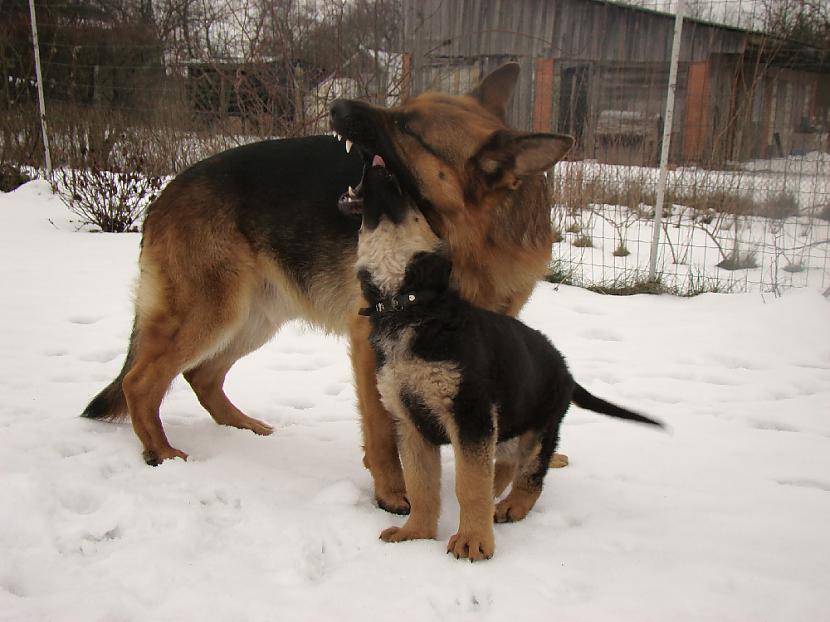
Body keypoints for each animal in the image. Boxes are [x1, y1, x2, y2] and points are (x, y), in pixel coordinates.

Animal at [86, 61, 580, 516]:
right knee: (140, 381)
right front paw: (392, 492)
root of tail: (168, 189)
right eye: (403, 110)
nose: (336, 105)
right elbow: (382, 428)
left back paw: (242, 427)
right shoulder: (368, 344)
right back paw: (161, 453)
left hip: (254, 318)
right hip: (213, 313)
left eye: (407, 128)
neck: (468, 241)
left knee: (200, 376)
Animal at [358, 157, 664, 564]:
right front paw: (416, 534)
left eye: (414, 199)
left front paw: (473, 542)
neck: (408, 303)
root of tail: (566, 369)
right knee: (502, 466)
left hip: (539, 428)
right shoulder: (411, 422)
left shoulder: (470, 415)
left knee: (530, 475)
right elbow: (422, 485)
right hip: (506, 424)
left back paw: (511, 506)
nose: (376, 165)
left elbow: (469, 484)